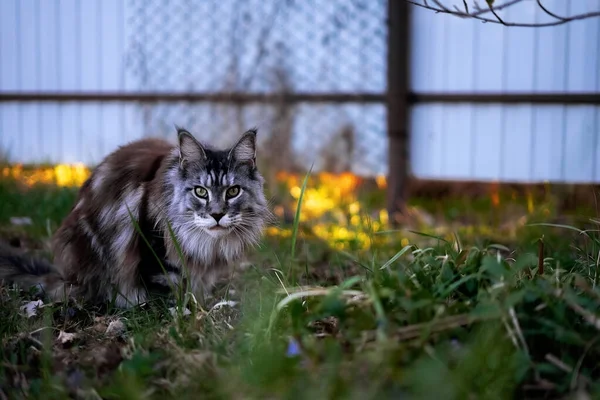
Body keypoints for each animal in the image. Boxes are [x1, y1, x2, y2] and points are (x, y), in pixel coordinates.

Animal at [0, 126, 272, 308]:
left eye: (233, 191)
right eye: (200, 191)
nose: (217, 214)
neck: (205, 243)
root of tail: (66, 277)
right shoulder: (154, 246)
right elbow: (167, 290)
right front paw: (180, 314)